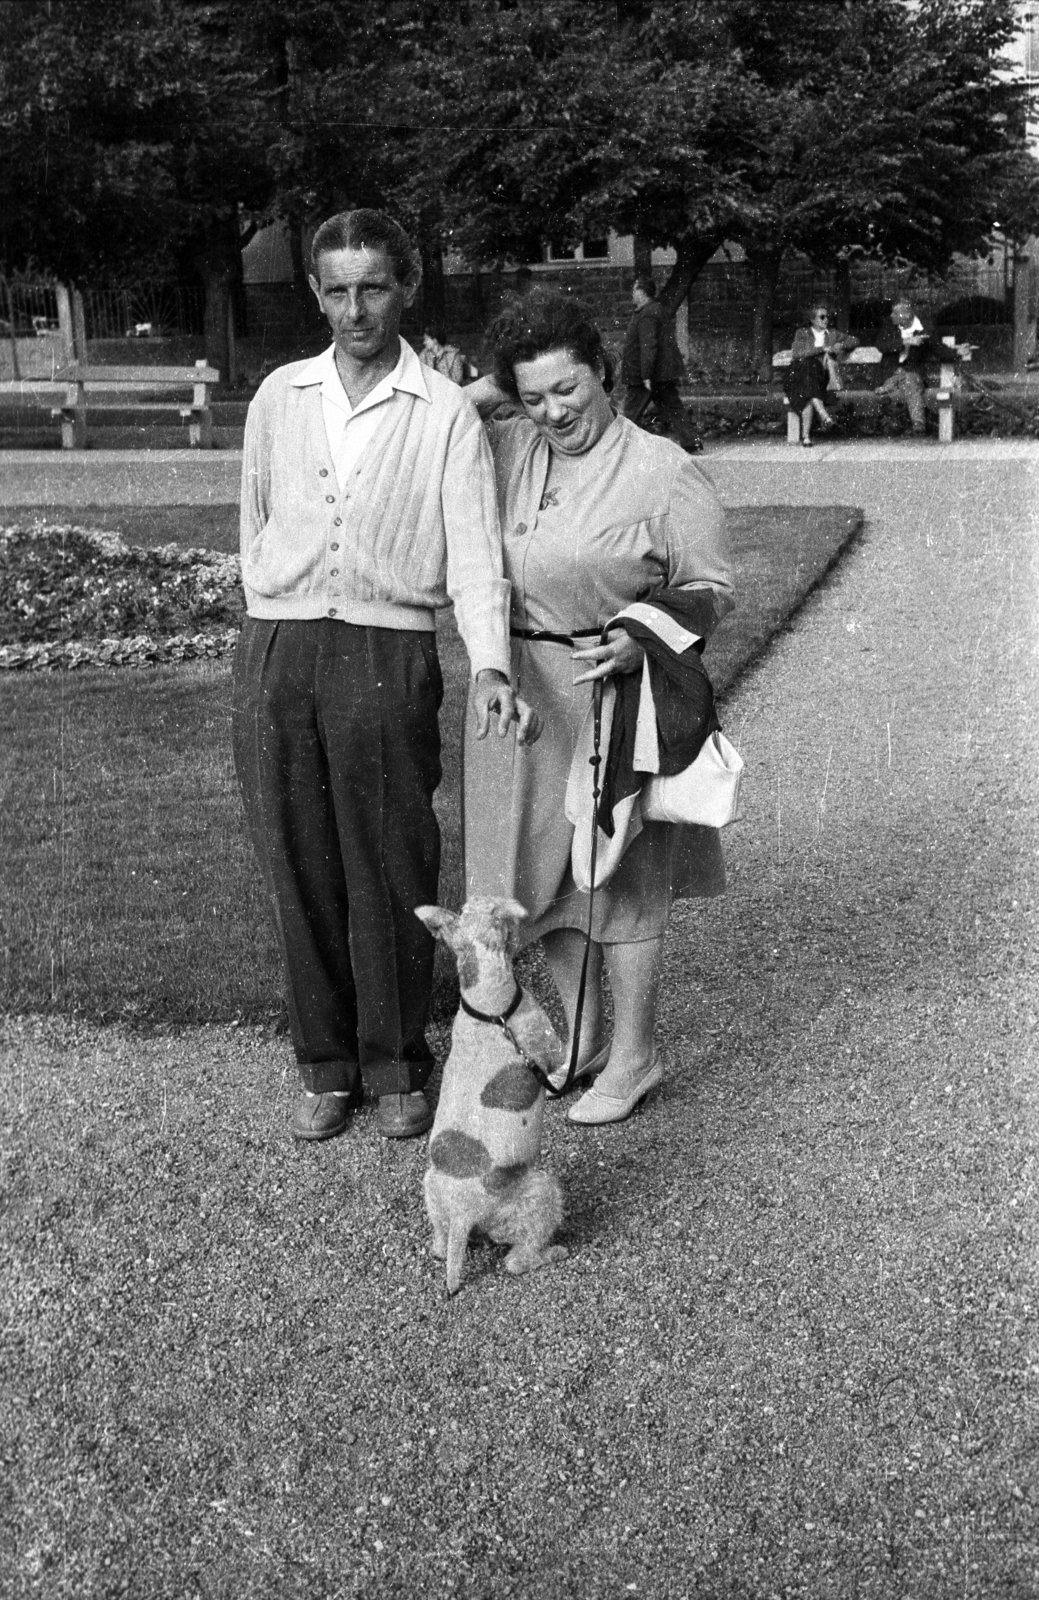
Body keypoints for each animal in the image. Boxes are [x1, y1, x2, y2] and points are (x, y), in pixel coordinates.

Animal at [413, 896, 566, 1292]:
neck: (487, 1007)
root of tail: (464, 1214)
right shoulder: (553, 1050)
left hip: (432, 1191)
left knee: (440, 1247)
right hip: (541, 1193)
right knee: (518, 1260)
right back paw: (552, 1253)